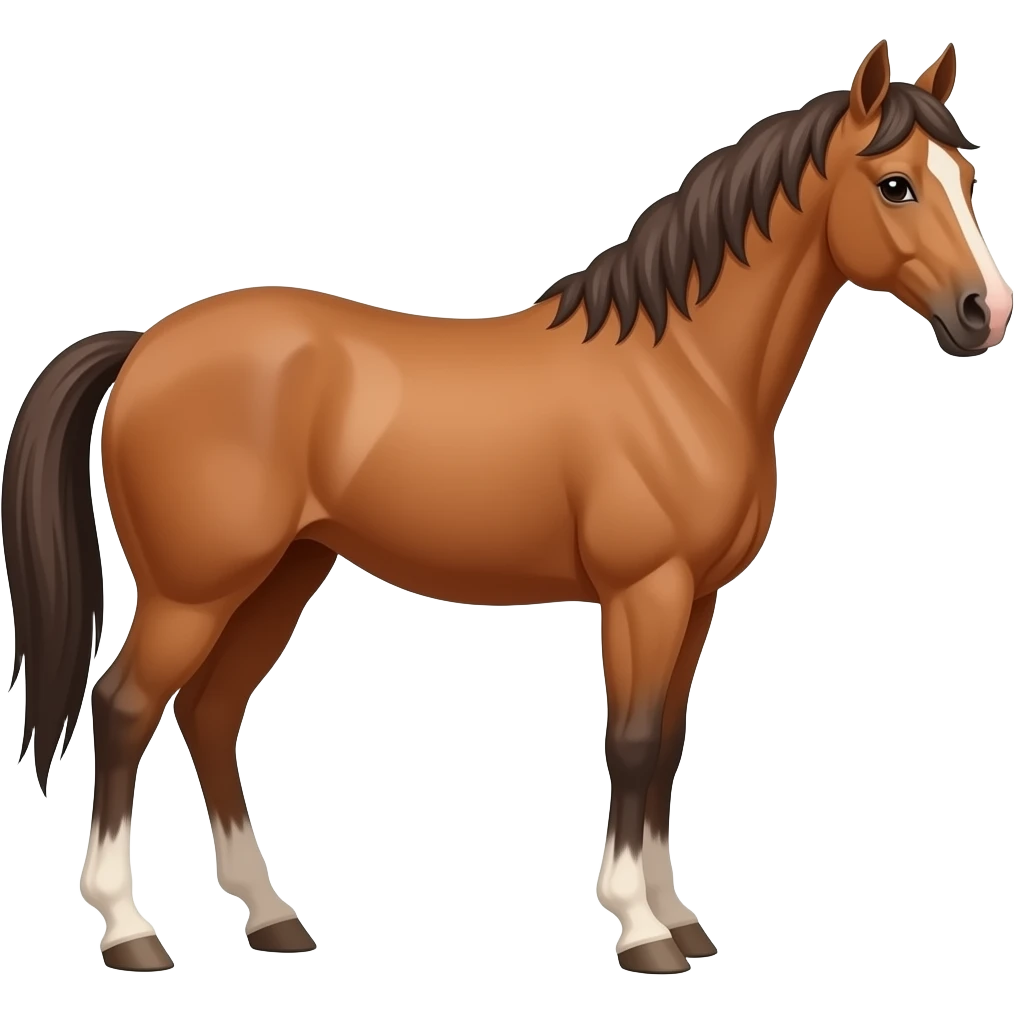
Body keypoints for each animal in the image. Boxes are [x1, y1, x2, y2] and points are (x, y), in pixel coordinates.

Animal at [2, 40, 1010, 975]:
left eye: (965, 178)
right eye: (893, 184)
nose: (983, 313)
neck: (683, 371)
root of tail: (146, 345)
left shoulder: (695, 598)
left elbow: (668, 745)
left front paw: (680, 916)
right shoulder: (643, 591)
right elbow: (631, 742)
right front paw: (641, 929)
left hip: (282, 574)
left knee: (209, 713)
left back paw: (272, 916)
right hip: (195, 589)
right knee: (125, 708)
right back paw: (130, 930)